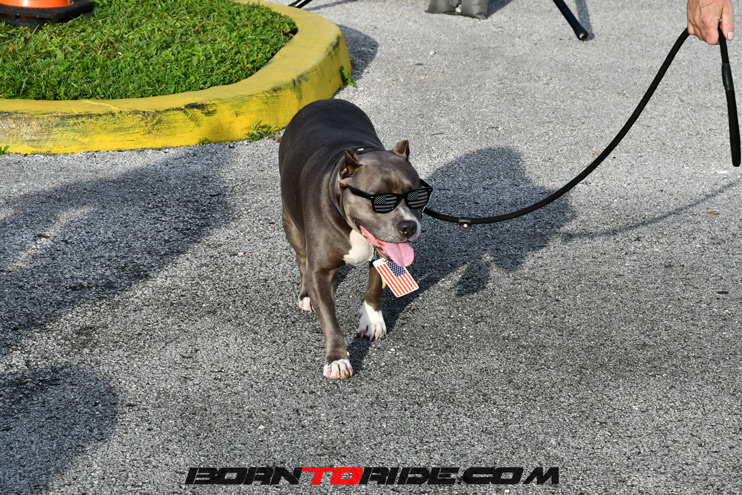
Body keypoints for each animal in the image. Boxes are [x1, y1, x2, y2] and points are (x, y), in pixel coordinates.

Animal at [278, 99, 430, 379]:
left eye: (417, 196)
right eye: (381, 199)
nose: (408, 226)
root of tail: (323, 100)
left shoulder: (381, 254)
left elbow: (374, 287)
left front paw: (372, 320)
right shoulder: (319, 271)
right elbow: (329, 319)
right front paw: (337, 359)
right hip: (290, 221)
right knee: (301, 258)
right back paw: (306, 295)